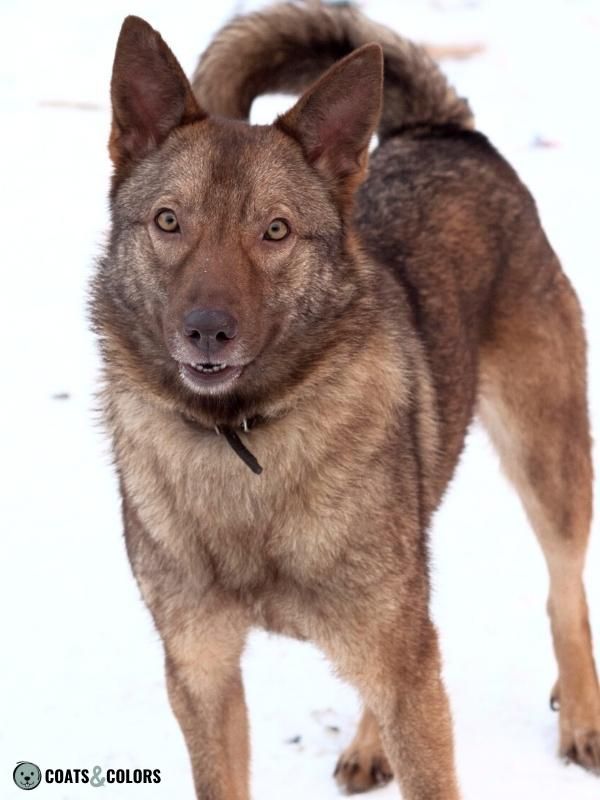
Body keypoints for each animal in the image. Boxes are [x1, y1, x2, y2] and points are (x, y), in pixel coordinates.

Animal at [90, 3, 600, 796]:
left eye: (275, 230)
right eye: (168, 220)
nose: (206, 331)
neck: (244, 441)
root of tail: (440, 129)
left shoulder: (405, 671)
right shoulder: (202, 675)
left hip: (548, 462)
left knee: (564, 592)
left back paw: (580, 716)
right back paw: (371, 744)